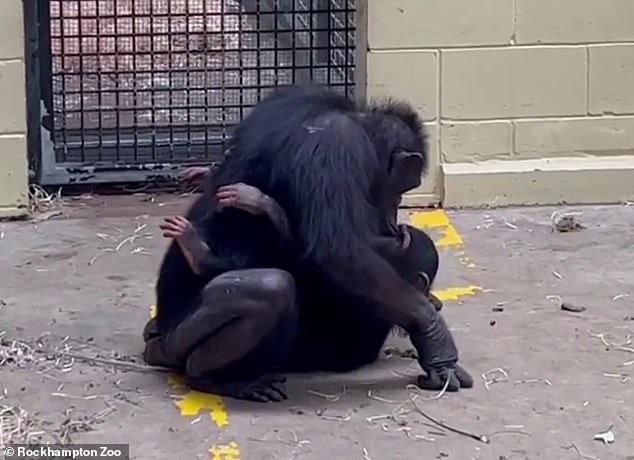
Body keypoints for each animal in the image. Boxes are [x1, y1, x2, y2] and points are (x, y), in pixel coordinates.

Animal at [144, 84, 470, 400]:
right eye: (403, 187)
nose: (395, 217)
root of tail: (161, 341)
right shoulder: (335, 146)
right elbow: (342, 252)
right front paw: (434, 337)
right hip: (180, 338)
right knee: (271, 287)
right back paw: (220, 378)